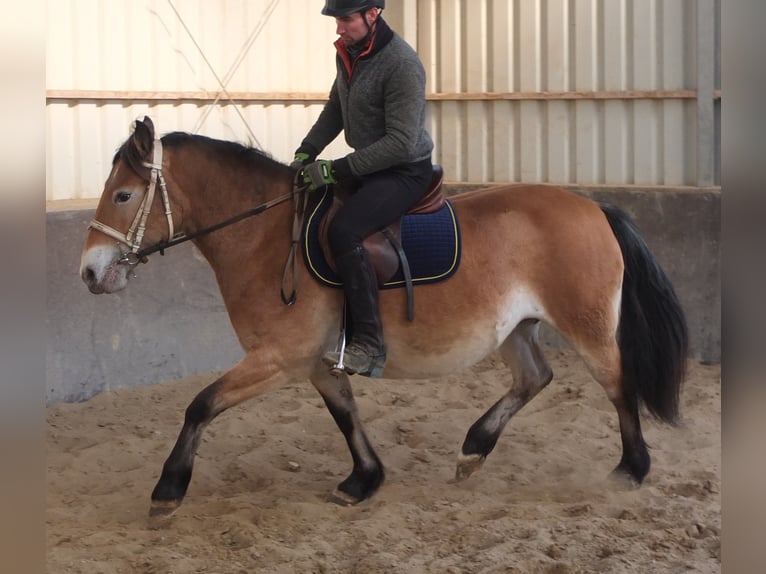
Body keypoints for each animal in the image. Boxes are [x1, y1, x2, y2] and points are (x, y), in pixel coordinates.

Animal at [79, 116, 688, 516]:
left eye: (124, 195)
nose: (89, 272)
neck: (267, 237)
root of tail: (594, 207)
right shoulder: (316, 362)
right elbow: (345, 414)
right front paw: (364, 480)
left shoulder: (278, 359)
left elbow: (200, 405)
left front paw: (168, 489)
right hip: (514, 328)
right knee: (535, 378)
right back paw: (473, 449)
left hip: (587, 325)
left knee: (617, 383)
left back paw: (631, 469)